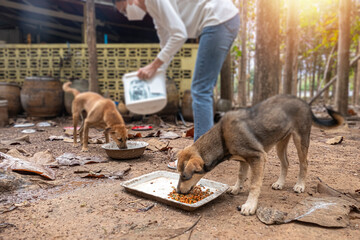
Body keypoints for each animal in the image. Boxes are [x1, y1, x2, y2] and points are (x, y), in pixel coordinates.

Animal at [176, 94, 344, 216]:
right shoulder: (243, 160)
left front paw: (250, 205)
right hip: (280, 142)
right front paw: (236, 188)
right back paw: (280, 183)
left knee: (304, 163)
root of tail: (304, 102)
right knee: (286, 163)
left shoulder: (258, 157)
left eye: (185, 176)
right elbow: (240, 175)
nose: (177, 191)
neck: (222, 138)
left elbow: (254, 184)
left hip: (300, 139)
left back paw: (300, 185)